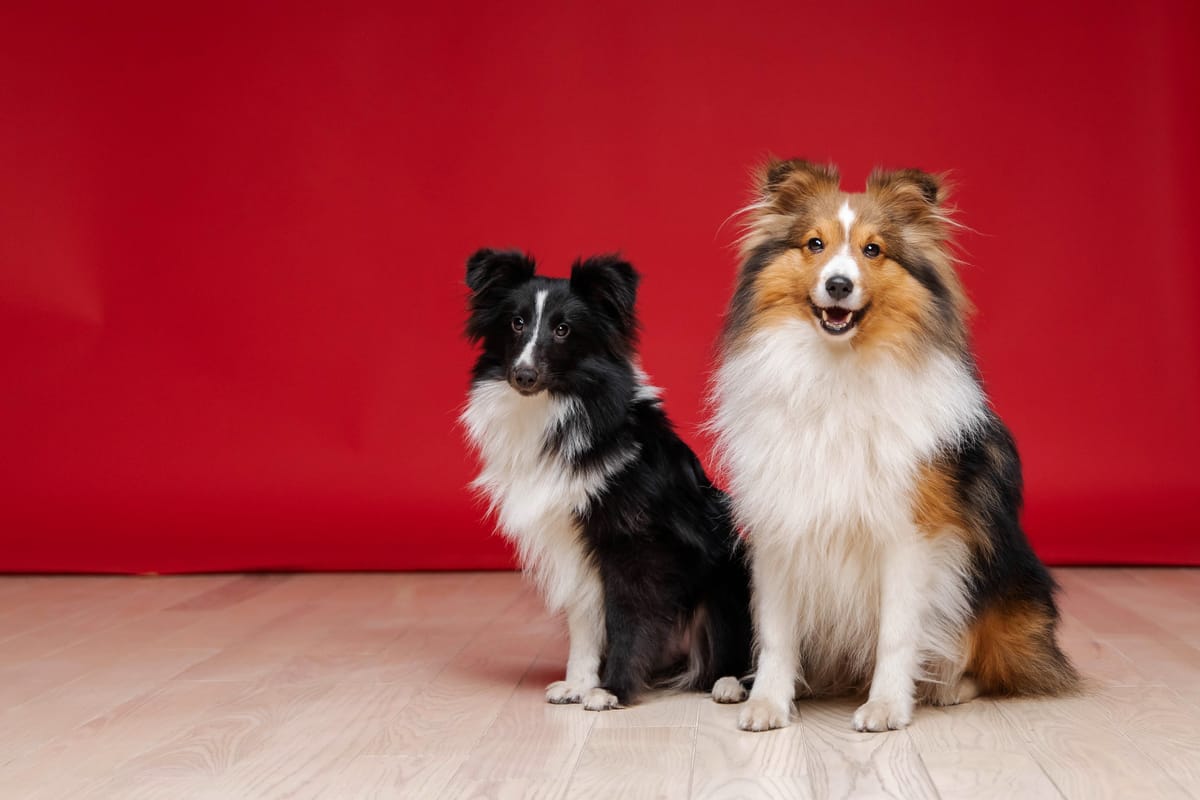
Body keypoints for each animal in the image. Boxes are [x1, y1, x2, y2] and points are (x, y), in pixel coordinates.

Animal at [460, 248, 748, 705]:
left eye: (563, 330)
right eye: (516, 322)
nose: (523, 375)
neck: (562, 404)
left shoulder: (634, 541)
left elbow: (627, 615)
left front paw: (611, 690)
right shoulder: (572, 542)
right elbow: (585, 620)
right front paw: (578, 684)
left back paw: (729, 683)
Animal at [710, 160, 1080, 734]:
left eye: (873, 250)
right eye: (814, 244)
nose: (839, 285)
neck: (837, 372)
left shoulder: (910, 534)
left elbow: (898, 633)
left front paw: (886, 707)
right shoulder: (781, 525)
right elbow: (776, 634)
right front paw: (767, 702)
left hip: (1003, 588)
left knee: (992, 664)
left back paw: (946, 687)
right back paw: (737, 684)